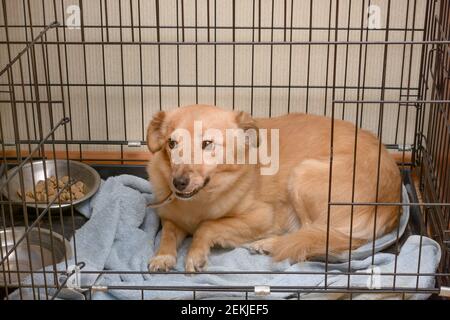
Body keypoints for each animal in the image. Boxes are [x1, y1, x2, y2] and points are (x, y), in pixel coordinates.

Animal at [146, 105, 400, 272]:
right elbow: (167, 233)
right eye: (172, 143)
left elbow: (207, 225)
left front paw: (196, 253)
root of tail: (392, 203)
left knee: (313, 237)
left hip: (302, 175)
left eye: (207, 144)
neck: (198, 202)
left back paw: (269, 244)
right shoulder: (171, 217)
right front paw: (163, 257)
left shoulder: (261, 217)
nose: (178, 183)